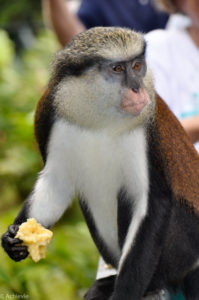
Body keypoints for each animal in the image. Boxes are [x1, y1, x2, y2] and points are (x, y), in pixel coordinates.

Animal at [1, 27, 199, 298]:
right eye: (117, 69)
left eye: (137, 66)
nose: (138, 89)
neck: (100, 118)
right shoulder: (49, 112)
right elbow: (57, 184)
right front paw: (14, 237)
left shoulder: (146, 131)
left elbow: (150, 201)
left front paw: (124, 293)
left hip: (185, 244)